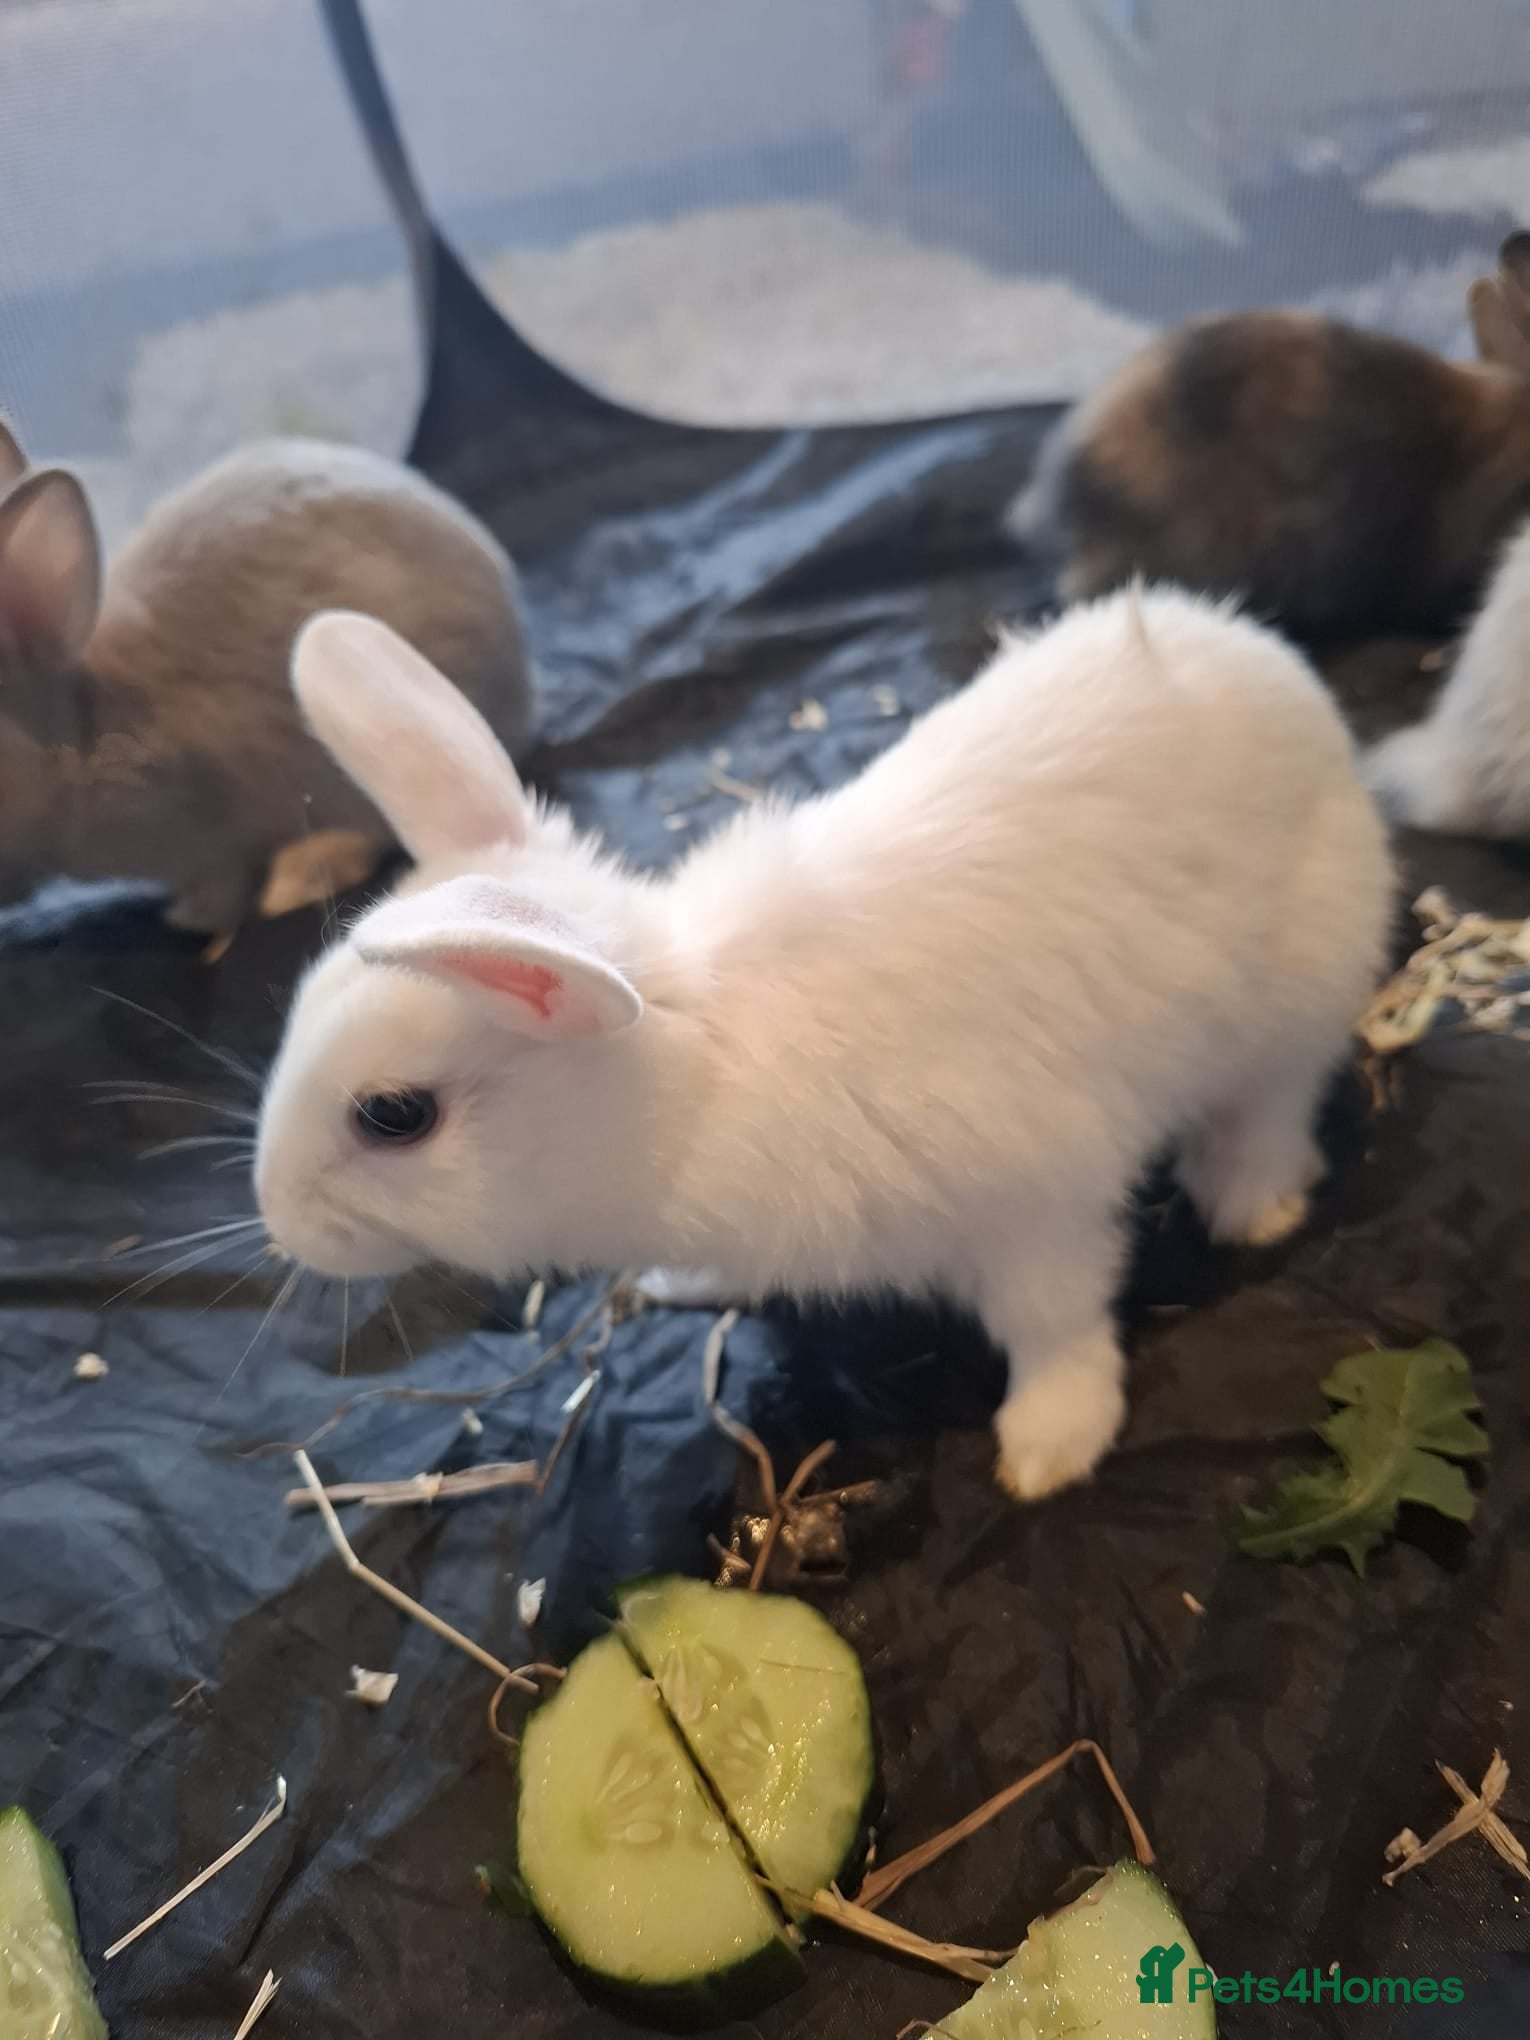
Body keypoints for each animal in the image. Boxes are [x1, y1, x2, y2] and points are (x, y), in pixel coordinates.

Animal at [255, 593, 1391, 1502]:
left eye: (394, 1116)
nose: (278, 1221)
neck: (695, 1090)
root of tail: (1284, 675)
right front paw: (677, 1287)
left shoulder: (1039, 1207)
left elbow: (1056, 1322)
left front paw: (1047, 1451)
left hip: (1298, 994)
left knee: (1276, 1108)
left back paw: (1254, 1207)